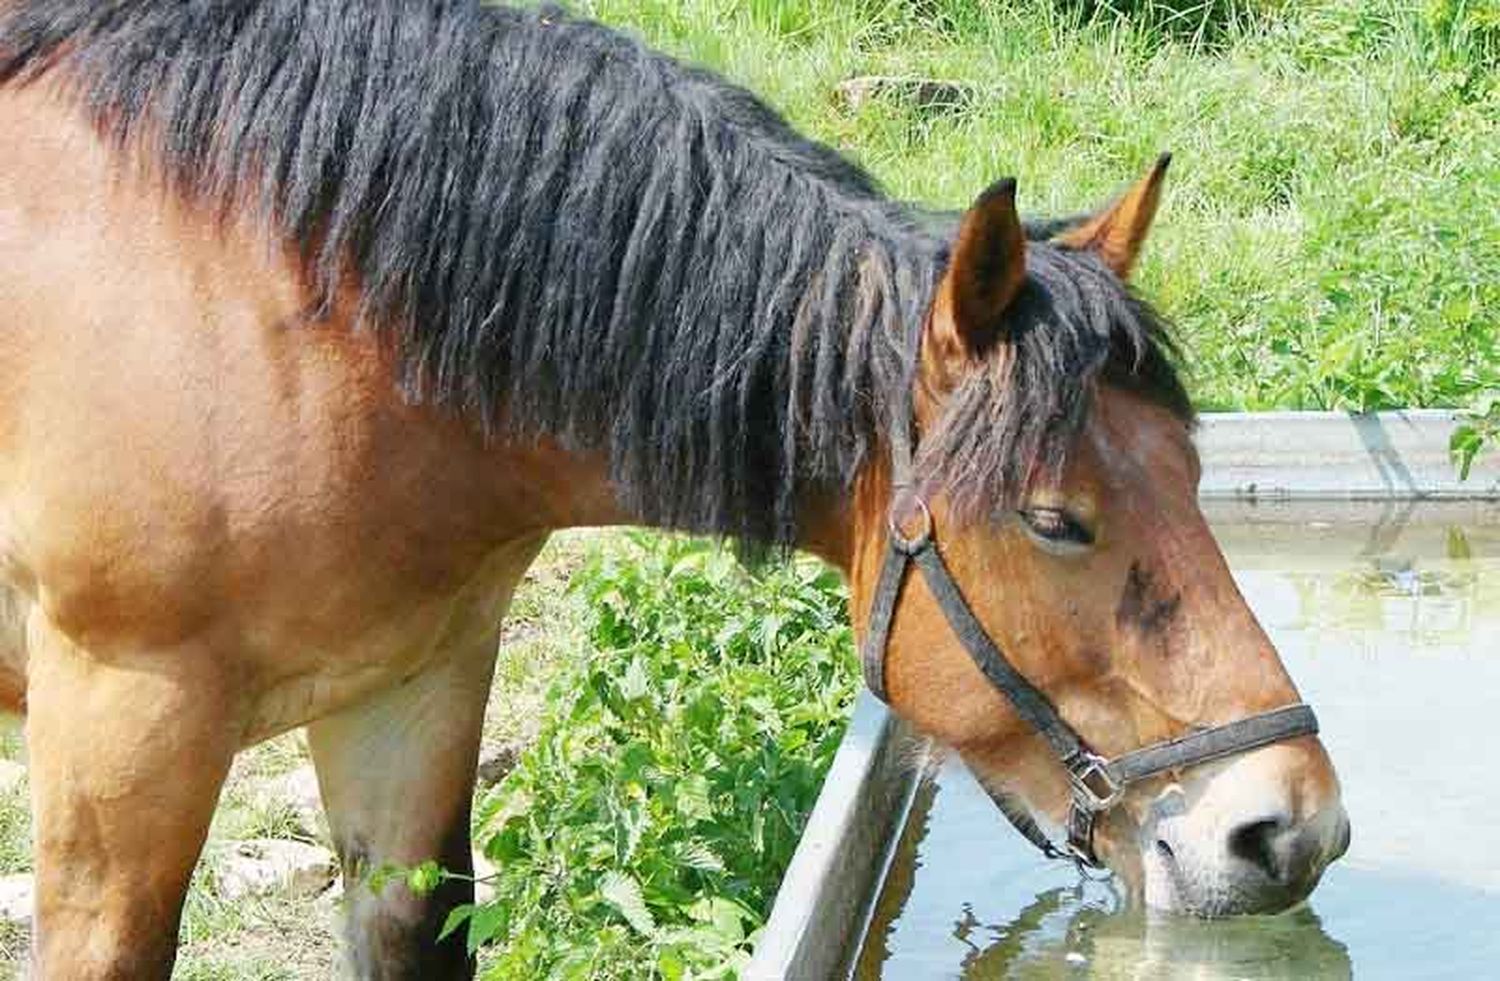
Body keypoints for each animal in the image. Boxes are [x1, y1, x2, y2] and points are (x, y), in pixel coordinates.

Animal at [0, 0, 1350, 978]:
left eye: (1195, 470)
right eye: (1055, 520)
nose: (1291, 828)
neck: (280, 298)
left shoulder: (412, 686)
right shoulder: (125, 723)